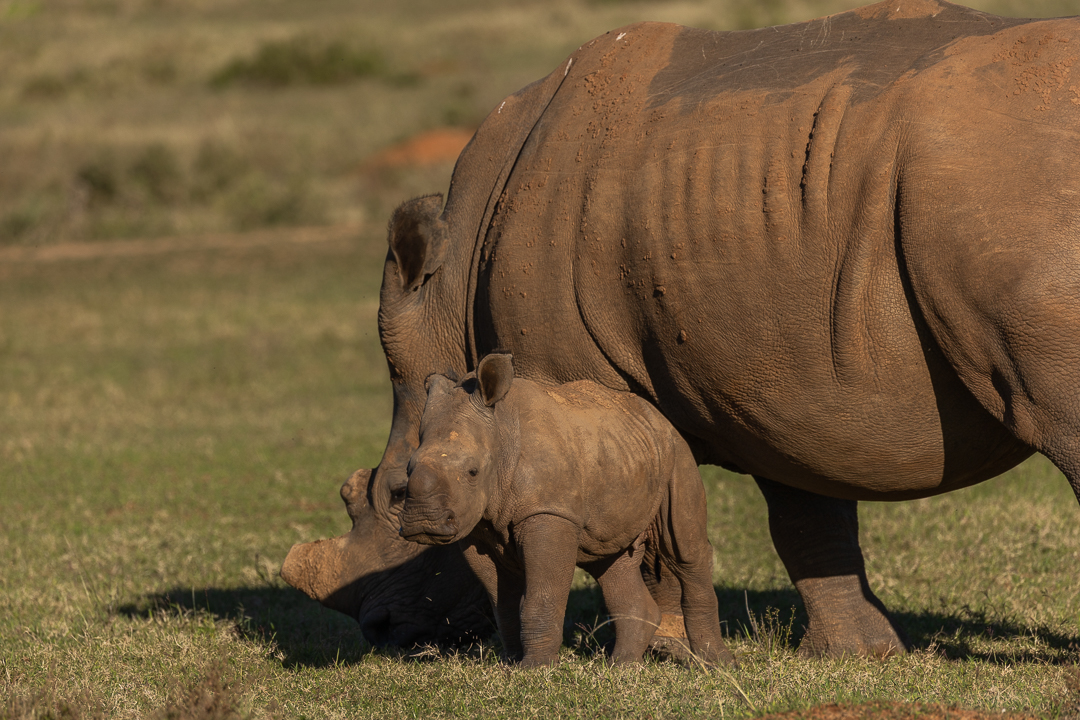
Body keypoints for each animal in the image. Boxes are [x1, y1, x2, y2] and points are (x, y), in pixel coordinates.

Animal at [399, 351, 734, 669]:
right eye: (408, 468)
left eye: (472, 472)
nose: (422, 521)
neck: (501, 431)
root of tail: (659, 417)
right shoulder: (477, 528)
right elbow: (502, 602)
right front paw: (510, 663)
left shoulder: (549, 511)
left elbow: (542, 595)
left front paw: (534, 669)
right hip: (624, 453)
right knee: (611, 561)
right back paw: (622, 667)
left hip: (676, 453)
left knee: (685, 551)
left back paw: (716, 664)